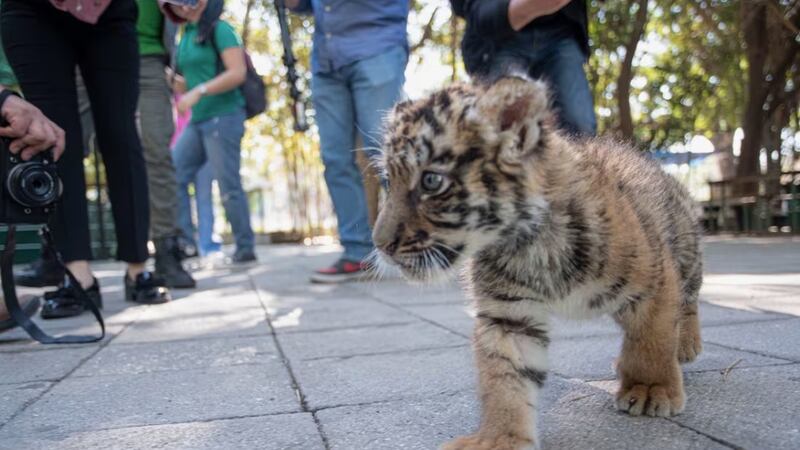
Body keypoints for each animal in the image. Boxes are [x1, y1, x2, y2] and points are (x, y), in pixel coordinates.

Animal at [371, 77, 703, 450]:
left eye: (431, 180)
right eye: (388, 181)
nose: (380, 244)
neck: (524, 243)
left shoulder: (654, 281)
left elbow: (652, 339)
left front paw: (650, 388)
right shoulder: (508, 316)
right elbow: (503, 378)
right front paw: (498, 438)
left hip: (685, 252)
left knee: (687, 301)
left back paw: (685, 346)